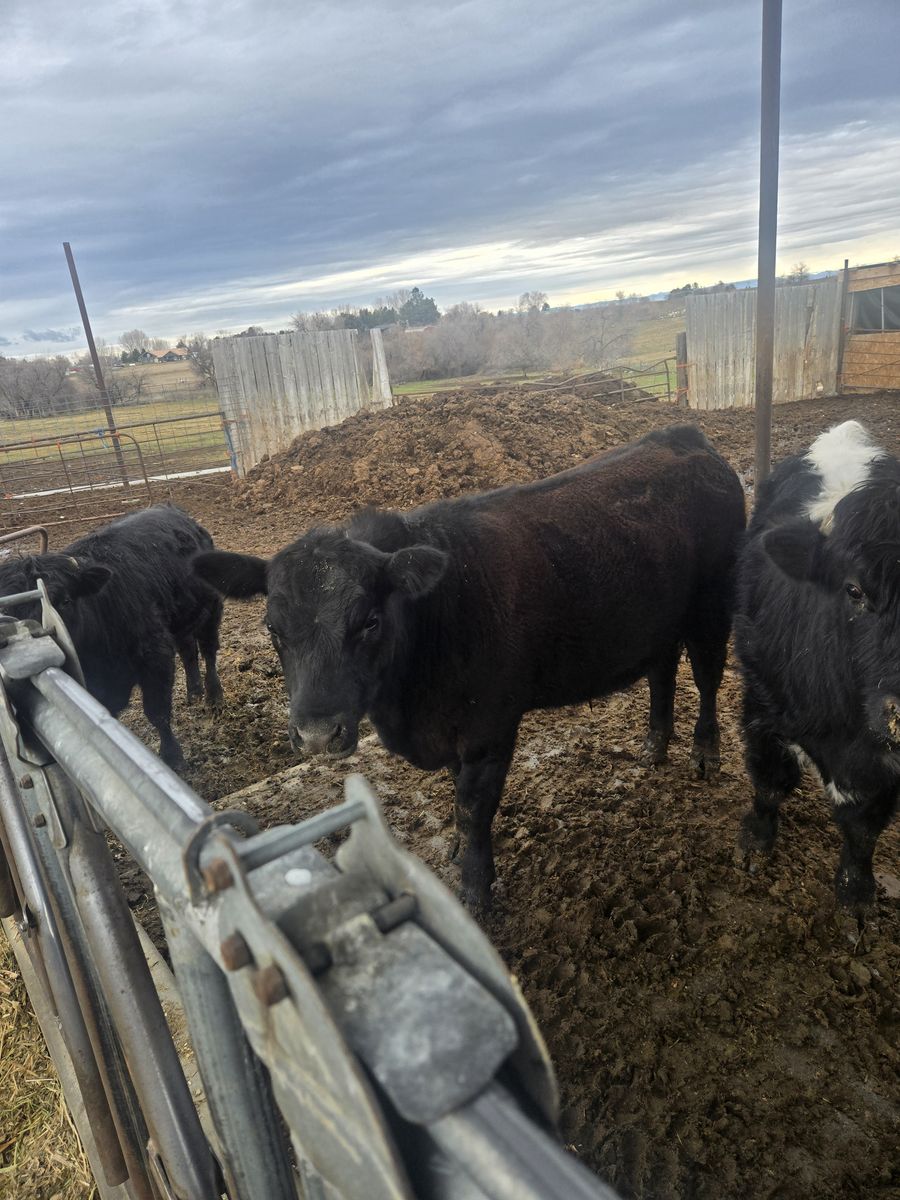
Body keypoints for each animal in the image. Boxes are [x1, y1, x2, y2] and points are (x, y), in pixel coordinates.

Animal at [0, 505, 224, 768]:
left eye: (65, 601)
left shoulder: (155, 656)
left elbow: (157, 712)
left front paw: (172, 757)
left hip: (210, 608)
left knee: (208, 650)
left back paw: (213, 695)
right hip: (181, 619)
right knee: (188, 650)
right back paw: (194, 691)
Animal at [194, 425, 746, 910]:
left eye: (369, 621)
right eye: (273, 628)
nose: (315, 735)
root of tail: (685, 438)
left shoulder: (489, 728)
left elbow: (472, 807)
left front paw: (476, 889)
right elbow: (456, 798)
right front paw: (459, 854)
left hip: (713, 605)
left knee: (708, 677)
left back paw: (704, 753)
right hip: (660, 620)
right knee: (662, 672)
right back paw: (654, 745)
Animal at [735, 419, 900, 914]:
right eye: (854, 589)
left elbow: (864, 825)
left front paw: (856, 890)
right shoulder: (763, 710)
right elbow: (771, 781)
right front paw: (757, 840)